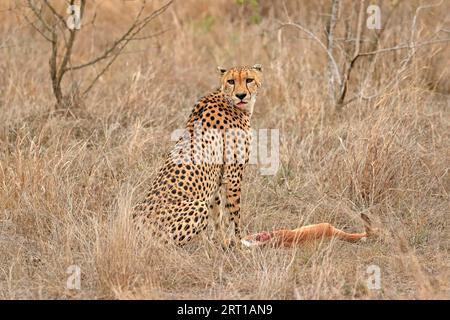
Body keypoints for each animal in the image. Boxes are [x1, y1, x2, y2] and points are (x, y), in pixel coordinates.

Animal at [132, 63, 262, 246]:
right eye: (231, 81)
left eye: (249, 79)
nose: (241, 95)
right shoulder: (233, 175)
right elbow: (234, 214)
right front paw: (238, 244)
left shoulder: (217, 180)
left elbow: (217, 214)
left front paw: (221, 242)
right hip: (197, 206)